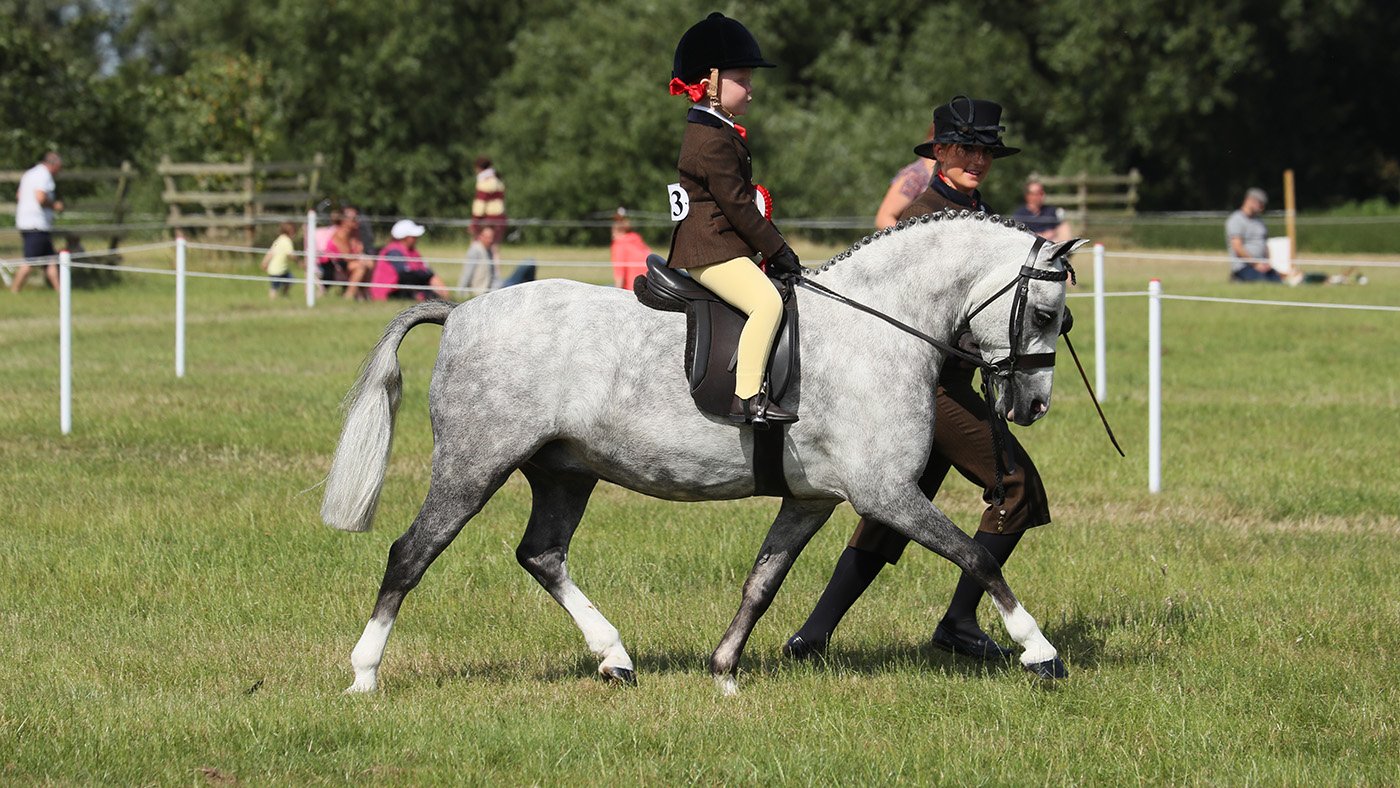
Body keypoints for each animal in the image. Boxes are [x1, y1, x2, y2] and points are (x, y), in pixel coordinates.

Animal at [322, 210, 1083, 695]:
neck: (876, 328)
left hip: (565, 472)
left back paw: (615, 658)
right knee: (411, 554)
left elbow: (762, 581)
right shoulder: (886, 493)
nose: (1033, 407)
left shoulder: (812, 499)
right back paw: (363, 674)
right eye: (1048, 315)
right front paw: (1039, 652)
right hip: (474, 466)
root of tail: (461, 311)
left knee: (541, 555)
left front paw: (723, 669)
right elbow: (976, 556)